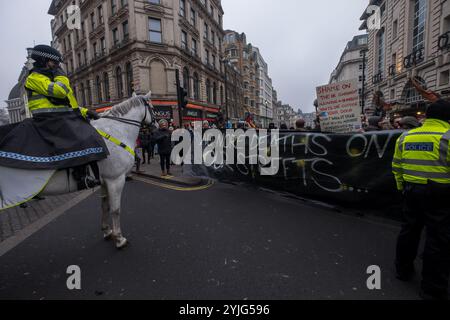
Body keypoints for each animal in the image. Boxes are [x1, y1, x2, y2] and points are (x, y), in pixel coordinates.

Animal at [40, 91, 153, 249]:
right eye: (153, 107)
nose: (157, 124)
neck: (118, 130)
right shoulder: (116, 179)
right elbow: (115, 209)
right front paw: (119, 239)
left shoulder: (105, 180)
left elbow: (104, 205)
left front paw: (107, 231)